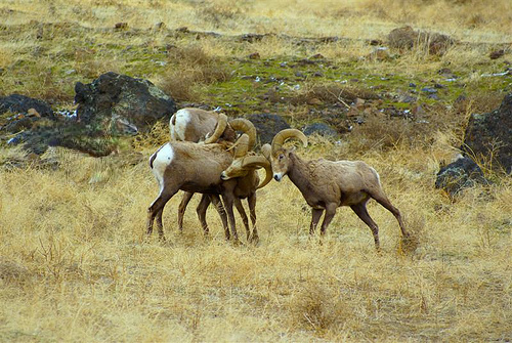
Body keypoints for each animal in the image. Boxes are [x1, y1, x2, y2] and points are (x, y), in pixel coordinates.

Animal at [262, 129, 410, 250]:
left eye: (281, 156)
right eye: (271, 160)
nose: (276, 176)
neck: (310, 177)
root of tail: (371, 170)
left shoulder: (331, 206)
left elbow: (322, 229)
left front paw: (321, 248)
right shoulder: (317, 209)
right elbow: (312, 229)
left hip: (378, 195)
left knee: (396, 211)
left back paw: (406, 236)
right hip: (358, 207)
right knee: (374, 226)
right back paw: (378, 250)